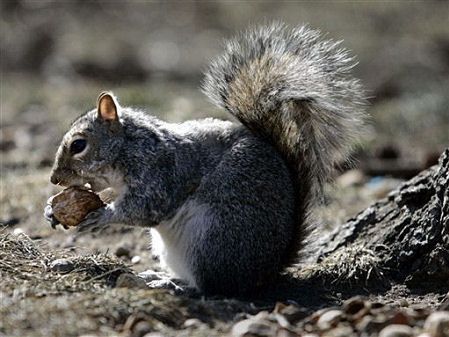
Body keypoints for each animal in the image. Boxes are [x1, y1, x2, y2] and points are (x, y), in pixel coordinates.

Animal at [47, 23, 366, 294]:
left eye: (78, 145)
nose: (54, 178)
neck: (129, 147)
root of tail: (265, 272)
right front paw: (51, 209)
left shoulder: (160, 172)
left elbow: (145, 208)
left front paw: (102, 216)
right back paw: (159, 276)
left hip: (213, 238)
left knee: (209, 287)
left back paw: (171, 285)